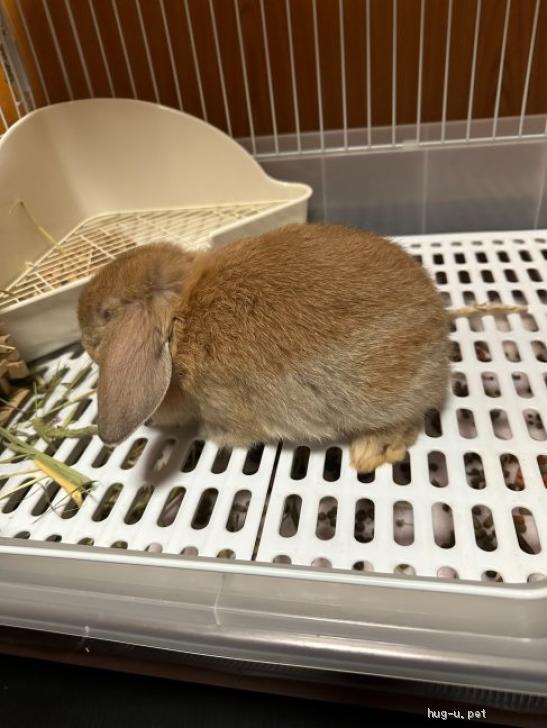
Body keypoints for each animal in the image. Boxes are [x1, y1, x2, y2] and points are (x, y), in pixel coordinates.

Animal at [77, 224, 525, 473]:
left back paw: (369, 453)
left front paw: (207, 435)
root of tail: (438, 317)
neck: (181, 317)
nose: (81, 337)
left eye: (106, 314)